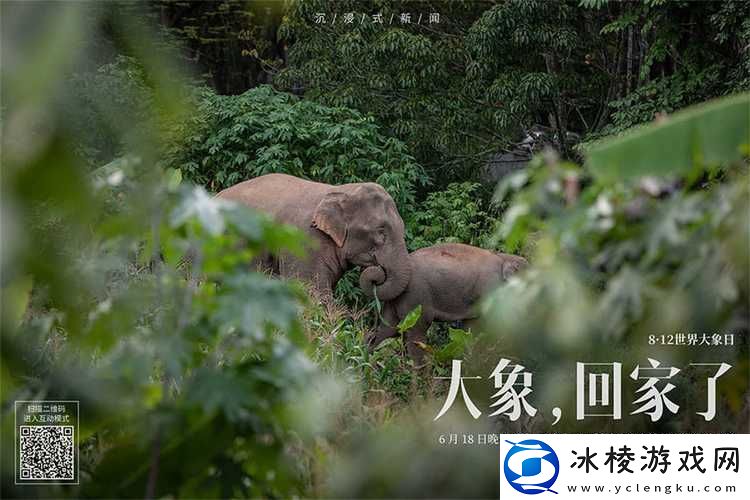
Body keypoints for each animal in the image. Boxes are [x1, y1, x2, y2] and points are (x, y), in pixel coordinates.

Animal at [360, 243, 527, 365]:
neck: (504, 257)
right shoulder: (490, 288)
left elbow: (471, 330)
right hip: (416, 299)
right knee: (416, 333)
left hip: (397, 299)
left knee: (386, 330)